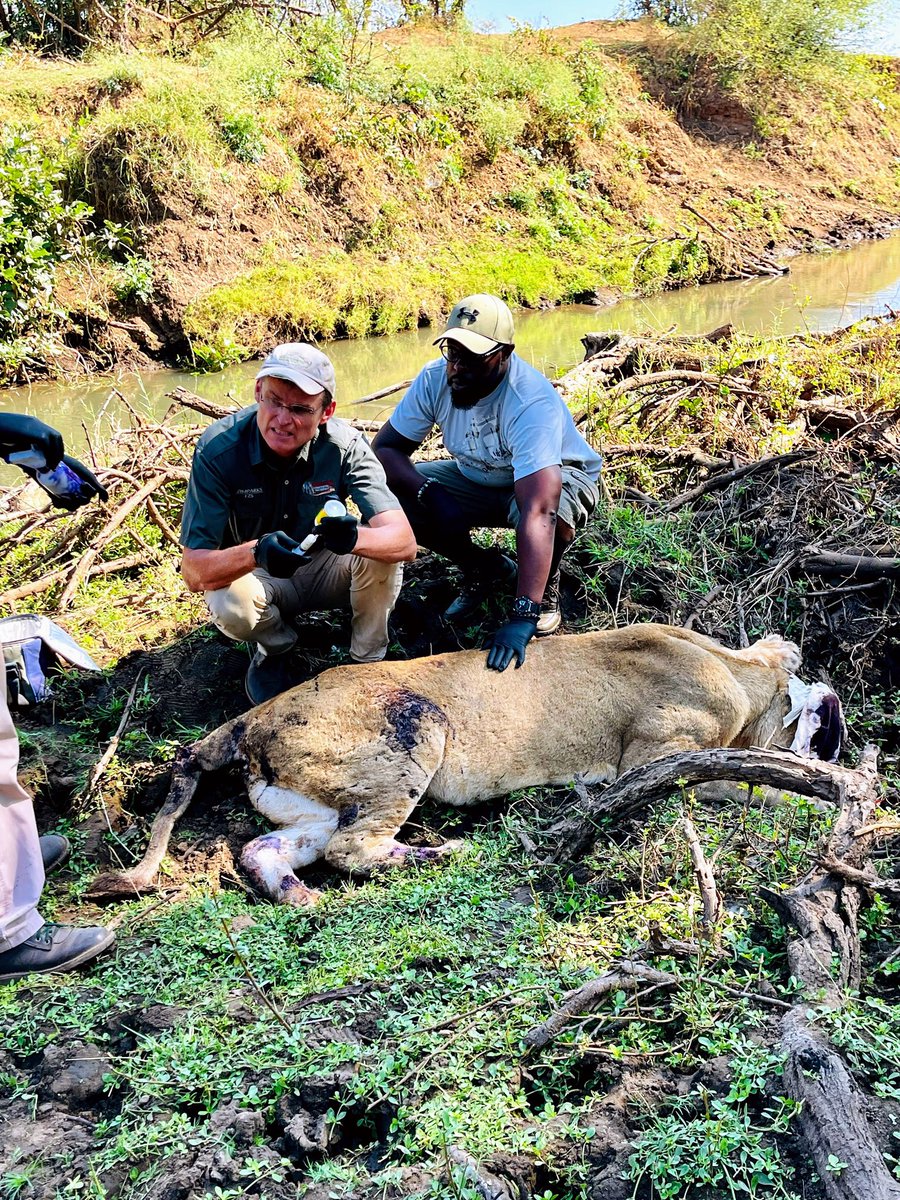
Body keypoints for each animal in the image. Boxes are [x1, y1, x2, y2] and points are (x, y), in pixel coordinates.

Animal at [89, 623, 840, 906]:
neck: (739, 671)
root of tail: (250, 716)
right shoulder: (656, 755)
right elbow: (747, 781)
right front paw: (817, 791)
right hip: (416, 728)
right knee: (352, 850)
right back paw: (446, 853)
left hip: (314, 801)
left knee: (270, 849)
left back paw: (298, 896)